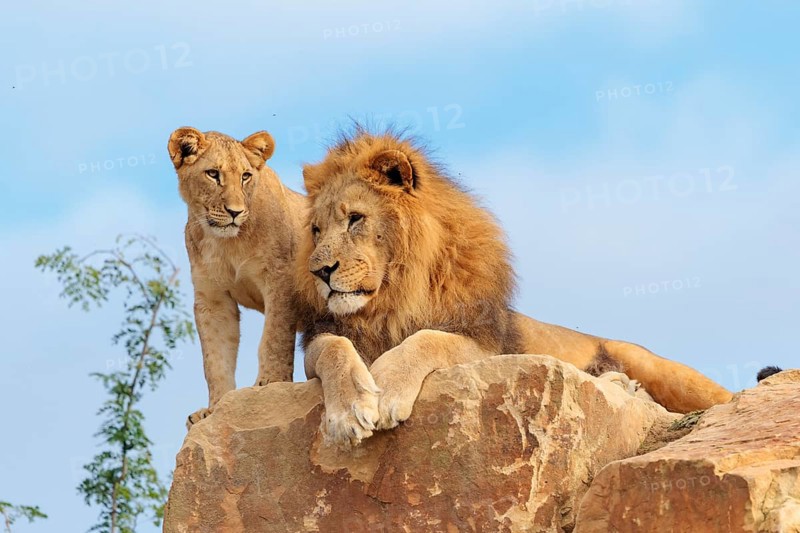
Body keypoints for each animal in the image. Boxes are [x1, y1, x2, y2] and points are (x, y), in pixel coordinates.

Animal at [168, 127, 305, 428]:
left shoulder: (280, 278)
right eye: (212, 174)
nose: (234, 212)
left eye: (245, 176)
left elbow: (274, 337)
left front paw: (270, 383)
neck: (227, 242)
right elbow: (215, 358)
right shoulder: (212, 299)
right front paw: (214, 409)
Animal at [295, 128, 734, 449]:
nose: (321, 272)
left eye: (355, 218)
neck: (393, 296)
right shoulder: (322, 338)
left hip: (662, 368)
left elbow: (428, 339)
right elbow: (333, 349)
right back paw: (618, 384)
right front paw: (348, 411)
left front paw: (386, 387)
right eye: (316, 230)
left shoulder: (486, 343)